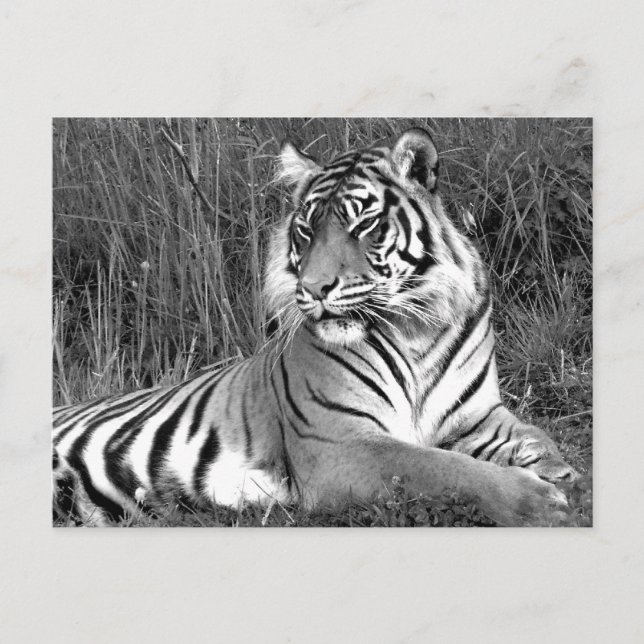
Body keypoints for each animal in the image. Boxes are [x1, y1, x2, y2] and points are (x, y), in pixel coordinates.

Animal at [53, 127, 578, 527]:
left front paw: (558, 470)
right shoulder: (339, 442)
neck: (415, 327)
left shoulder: (477, 416)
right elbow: (441, 469)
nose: (314, 287)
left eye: (363, 224)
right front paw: (537, 502)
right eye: (306, 231)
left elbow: (535, 436)